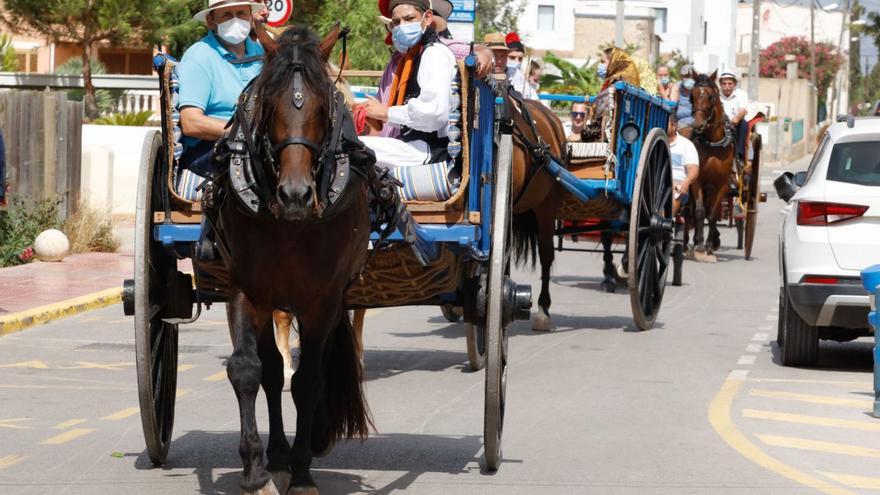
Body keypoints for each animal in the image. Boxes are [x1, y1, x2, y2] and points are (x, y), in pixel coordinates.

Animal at [222, 27, 372, 495]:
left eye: (325, 107)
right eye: (269, 105)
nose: (294, 195)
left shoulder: (321, 300)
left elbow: (307, 381)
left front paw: (304, 473)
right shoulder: (246, 290)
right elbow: (248, 370)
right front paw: (255, 471)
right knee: (272, 370)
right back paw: (277, 455)